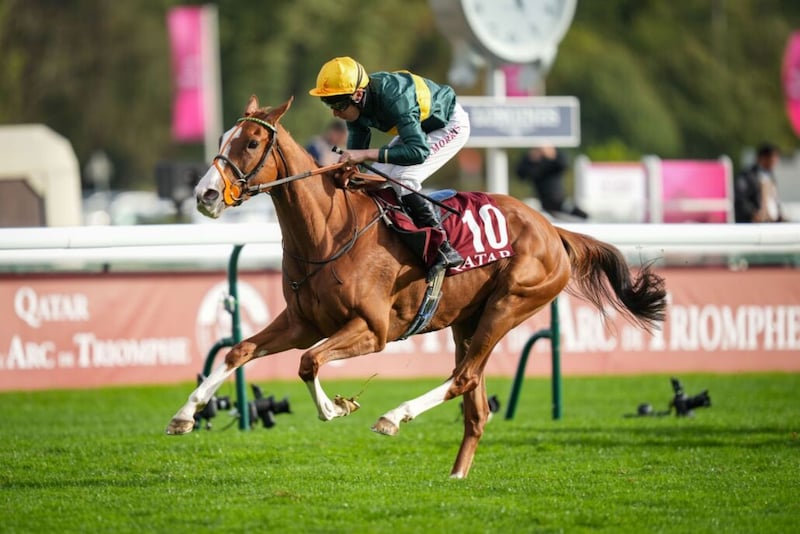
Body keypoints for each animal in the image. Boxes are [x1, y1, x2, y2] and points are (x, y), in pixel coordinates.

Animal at [166, 95, 667, 479]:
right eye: (221, 140)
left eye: (251, 142)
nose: (205, 195)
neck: (328, 231)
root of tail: (552, 229)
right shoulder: (301, 322)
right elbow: (239, 351)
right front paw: (185, 415)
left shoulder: (372, 330)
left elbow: (309, 363)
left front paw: (336, 408)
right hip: (467, 320)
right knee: (475, 403)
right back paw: (456, 475)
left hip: (509, 304)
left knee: (462, 378)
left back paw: (393, 417)